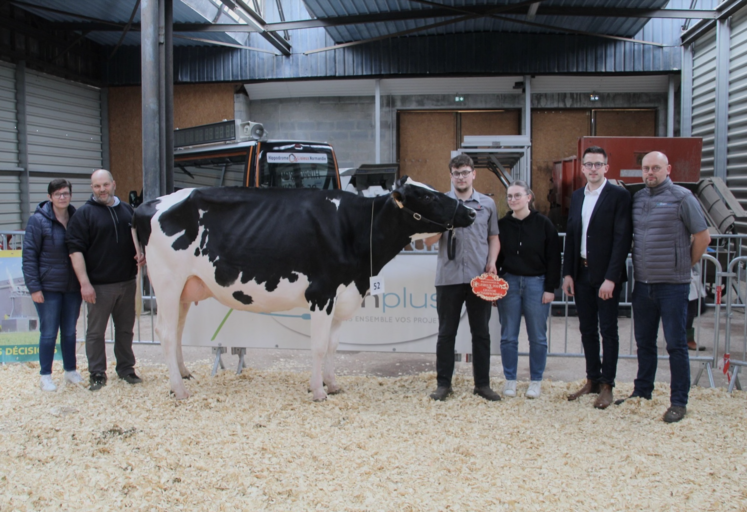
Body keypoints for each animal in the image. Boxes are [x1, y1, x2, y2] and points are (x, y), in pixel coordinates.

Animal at [131, 176, 476, 400]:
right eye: (427, 196)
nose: (470, 211)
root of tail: (148, 204)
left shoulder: (343, 293)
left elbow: (334, 346)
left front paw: (333, 385)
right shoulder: (322, 294)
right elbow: (319, 346)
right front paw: (318, 390)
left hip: (184, 288)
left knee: (177, 330)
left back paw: (184, 374)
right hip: (166, 282)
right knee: (165, 332)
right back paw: (179, 389)